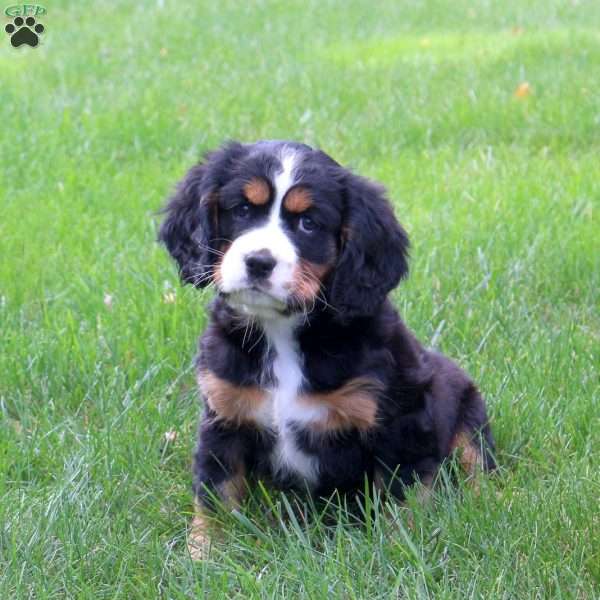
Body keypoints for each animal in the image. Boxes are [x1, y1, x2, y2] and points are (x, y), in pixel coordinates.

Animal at [159, 138, 496, 556]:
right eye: (242, 210)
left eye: (308, 223)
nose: (258, 262)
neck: (282, 332)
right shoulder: (224, 414)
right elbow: (215, 491)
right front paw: (205, 552)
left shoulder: (400, 421)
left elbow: (401, 495)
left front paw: (398, 549)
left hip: (468, 411)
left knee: (476, 463)